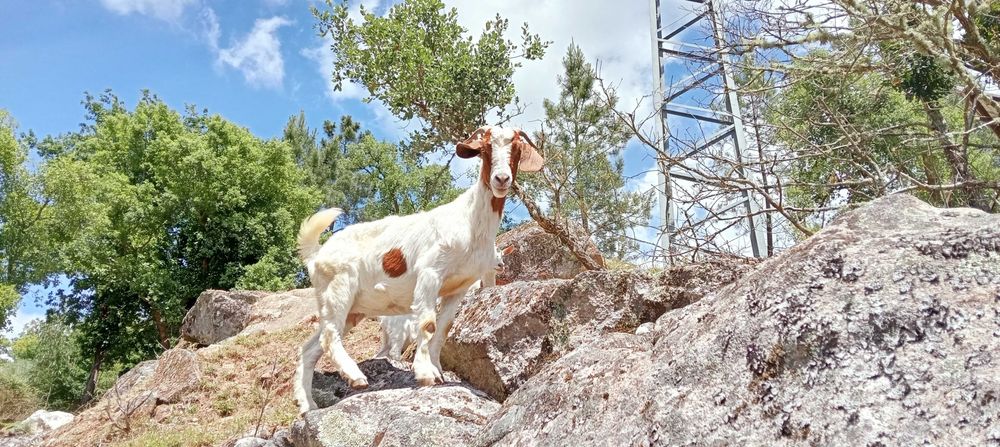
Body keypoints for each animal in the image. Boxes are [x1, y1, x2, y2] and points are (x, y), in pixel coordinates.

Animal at [293, 126, 544, 414]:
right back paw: (355, 376)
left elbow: (444, 328)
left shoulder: (459, 287)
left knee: (309, 348)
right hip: (338, 288)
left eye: (517, 149)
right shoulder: (431, 273)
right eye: (485, 148)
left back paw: (308, 404)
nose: (501, 179)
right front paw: (425, 374)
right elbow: (428, 324)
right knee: (329, 336)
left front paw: (438, 371)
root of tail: (316, 254)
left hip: (352, 309)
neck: (471, 222)